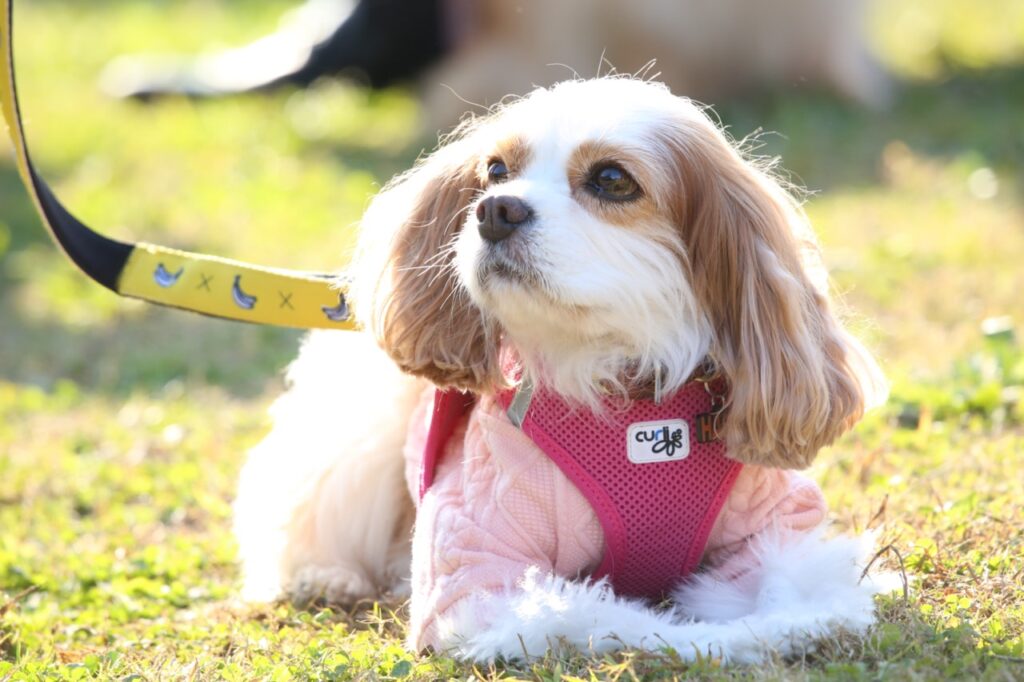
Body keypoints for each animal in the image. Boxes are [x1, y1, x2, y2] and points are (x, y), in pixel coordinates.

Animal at [235, 76, 892, 659]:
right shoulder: (480, 575)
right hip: (357, 443)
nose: (495, 209)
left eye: (611, 179)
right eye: (495, 171)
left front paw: (786, 628)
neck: (619, 390)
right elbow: (608, 616)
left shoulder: (776, 534)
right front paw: (707, 640)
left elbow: (795, 594)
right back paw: (326, 576)